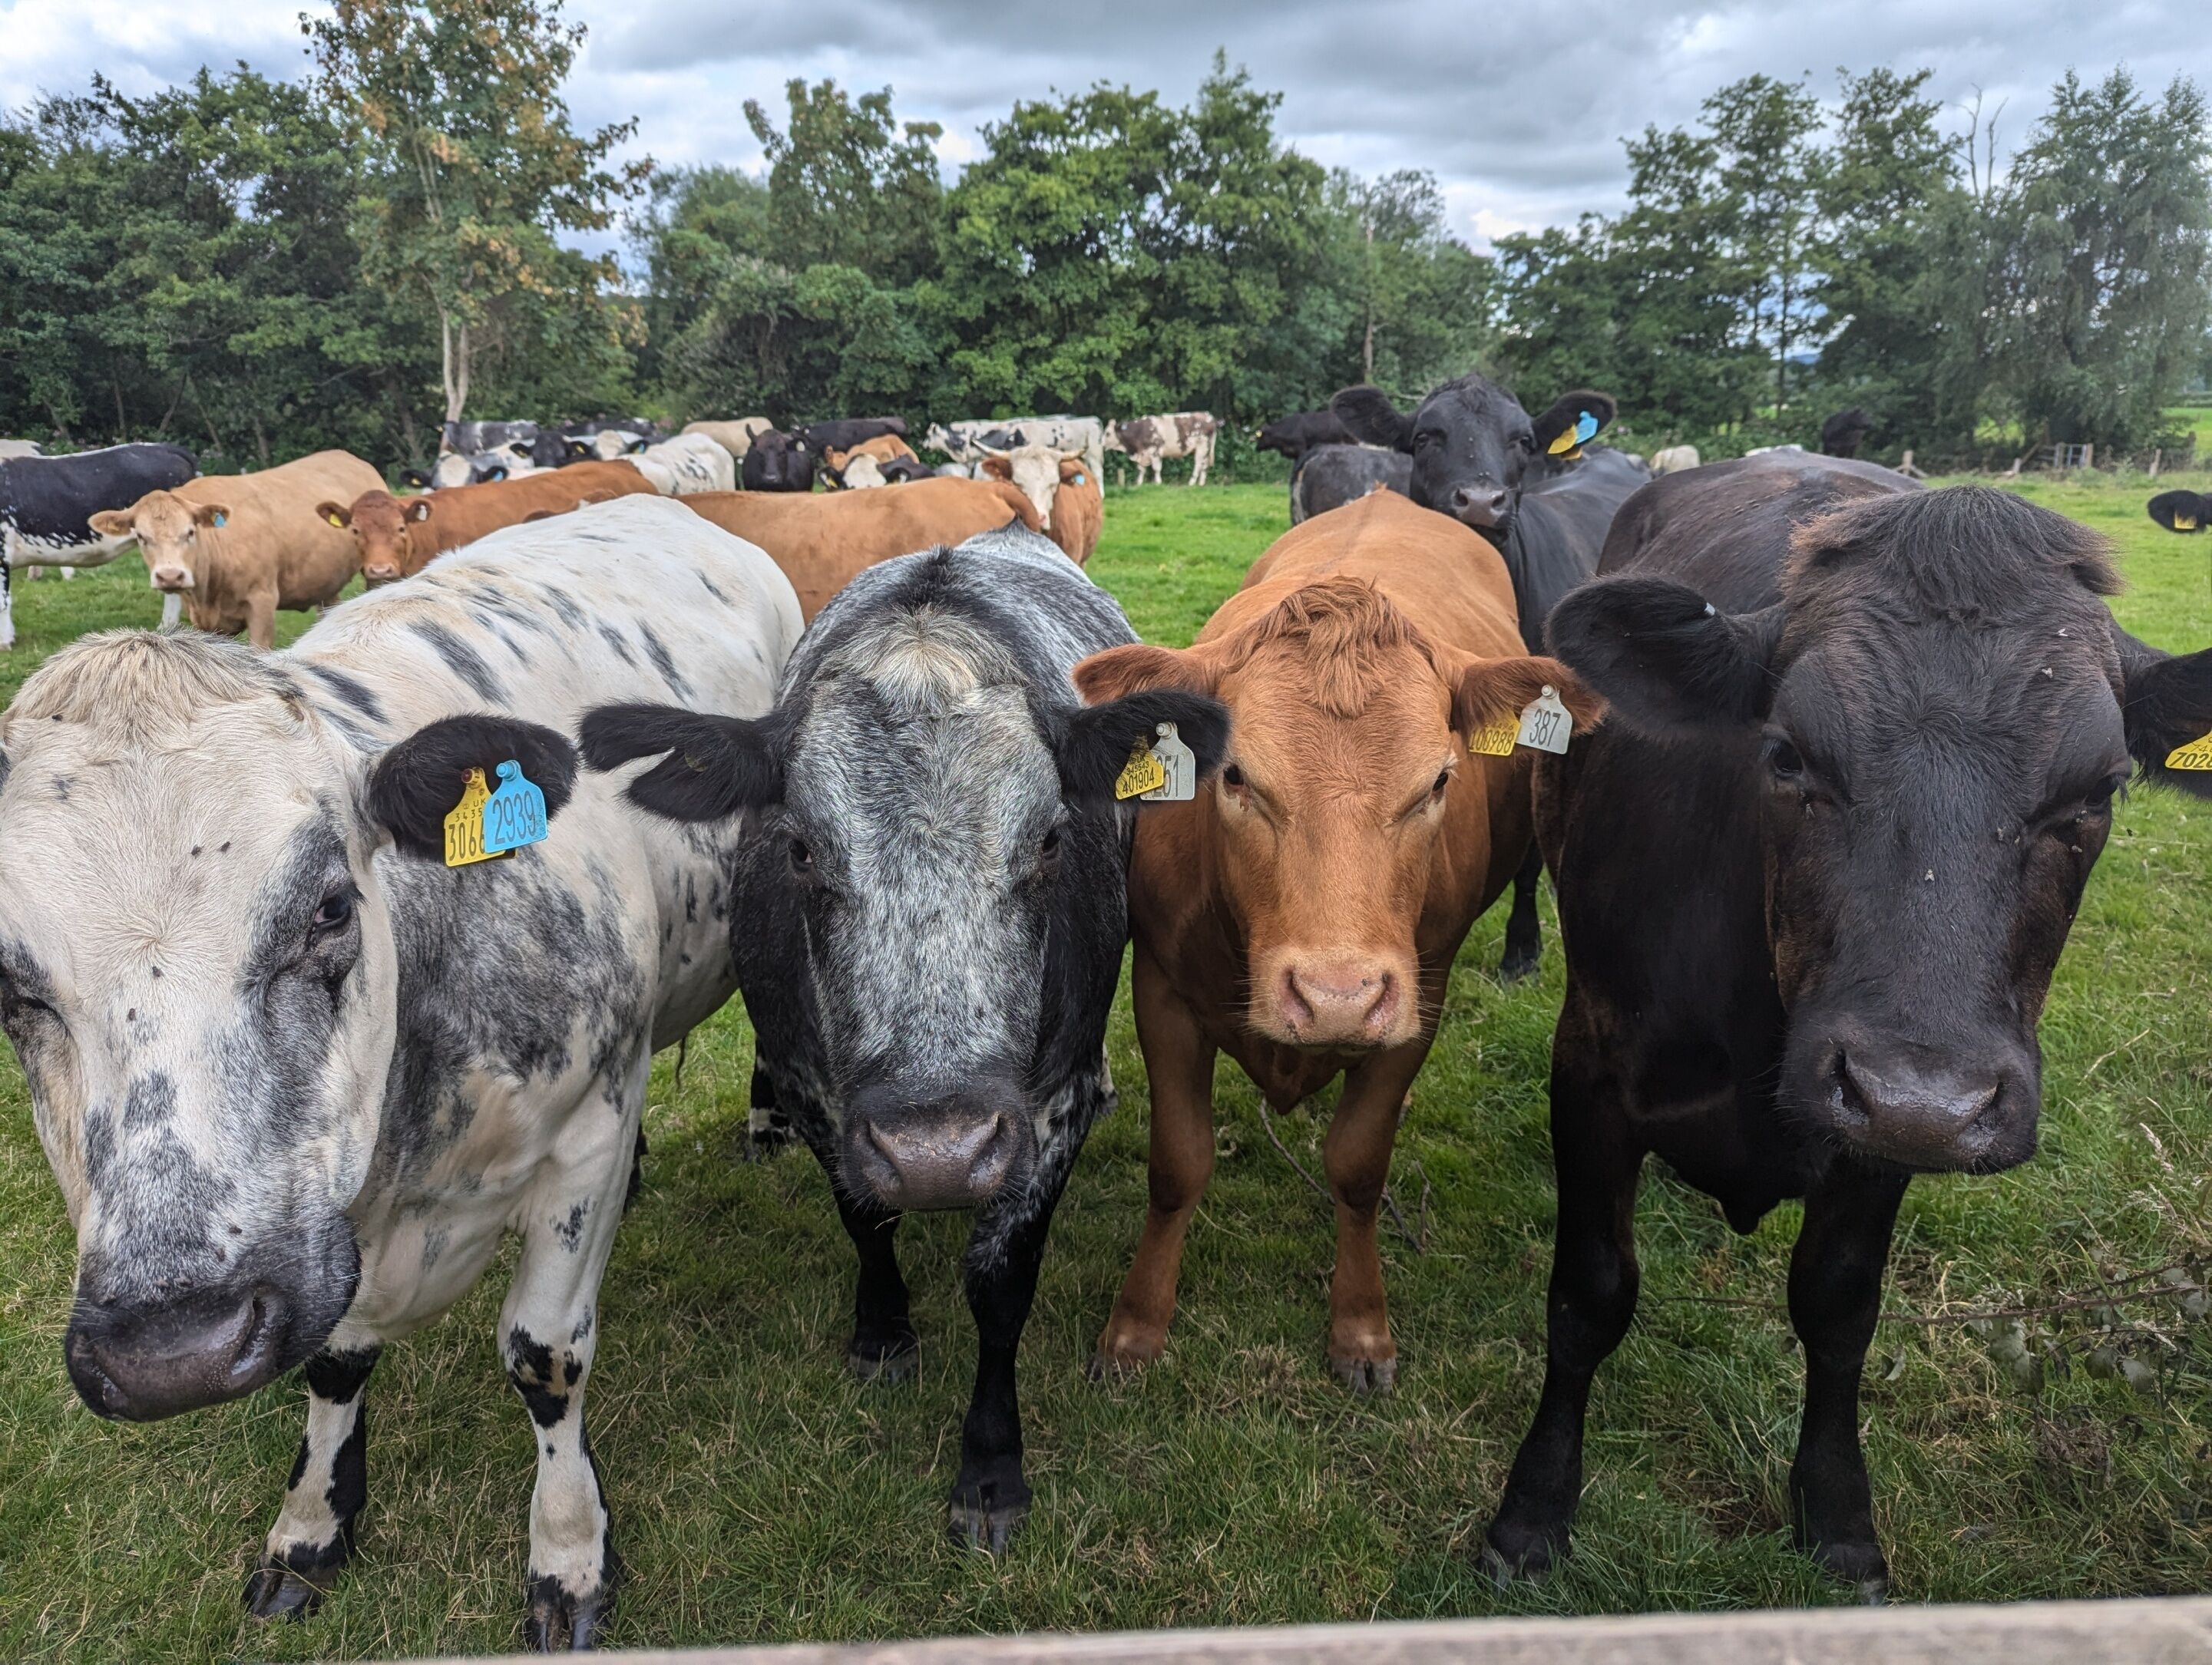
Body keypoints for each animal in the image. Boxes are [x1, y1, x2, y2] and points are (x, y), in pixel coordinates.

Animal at [0, 493, 803, 1644]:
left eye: (331, 907)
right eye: (8, 981)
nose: (174, 1346)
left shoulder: (582, 1139)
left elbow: (544, 1354)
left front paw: (568, 1553)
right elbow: (334, 1363)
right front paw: (310, 1526)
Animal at [579, 524, 1229, 1552]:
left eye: (1051, 841)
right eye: (799, 848)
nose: (937, 1153)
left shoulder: (1048, 1109)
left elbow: (1000, 1283)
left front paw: (991, 1472)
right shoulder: (813, 1092)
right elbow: (865, 1217)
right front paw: (883, 1334)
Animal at [1072, 489, 1602, 1395]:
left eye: (1438, 782)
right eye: (1235, 776)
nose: (1335, 999)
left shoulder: (1420, 994)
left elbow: (1357, 1166)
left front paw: (1360, 1330)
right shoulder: (1162, 991)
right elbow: (1176, 1164)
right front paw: (1135, 1327)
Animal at [1106, 412, 1217, 487]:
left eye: (1107, 433)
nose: (1102, 444)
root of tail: (1208, 416)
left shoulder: (1154, 452)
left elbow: (1156, 469)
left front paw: (1158, 483)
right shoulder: (1143, 453)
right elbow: (1141, 469)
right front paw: (1139, 484)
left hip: (1202, 447)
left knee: (1198, 464)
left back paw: (1191, 483)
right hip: (1205, 449)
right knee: (1205, 465)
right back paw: (1201, 483)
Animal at [1483, 457, 2212, 1599]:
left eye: (2098, 791)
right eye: (1787, 756)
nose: (1920, 1100)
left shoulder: (1886, 1132)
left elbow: (1837, 1311)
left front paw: (1834, 1516)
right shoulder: (1589, 1063)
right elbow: (1589, 1293)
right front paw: (1531, 1512)